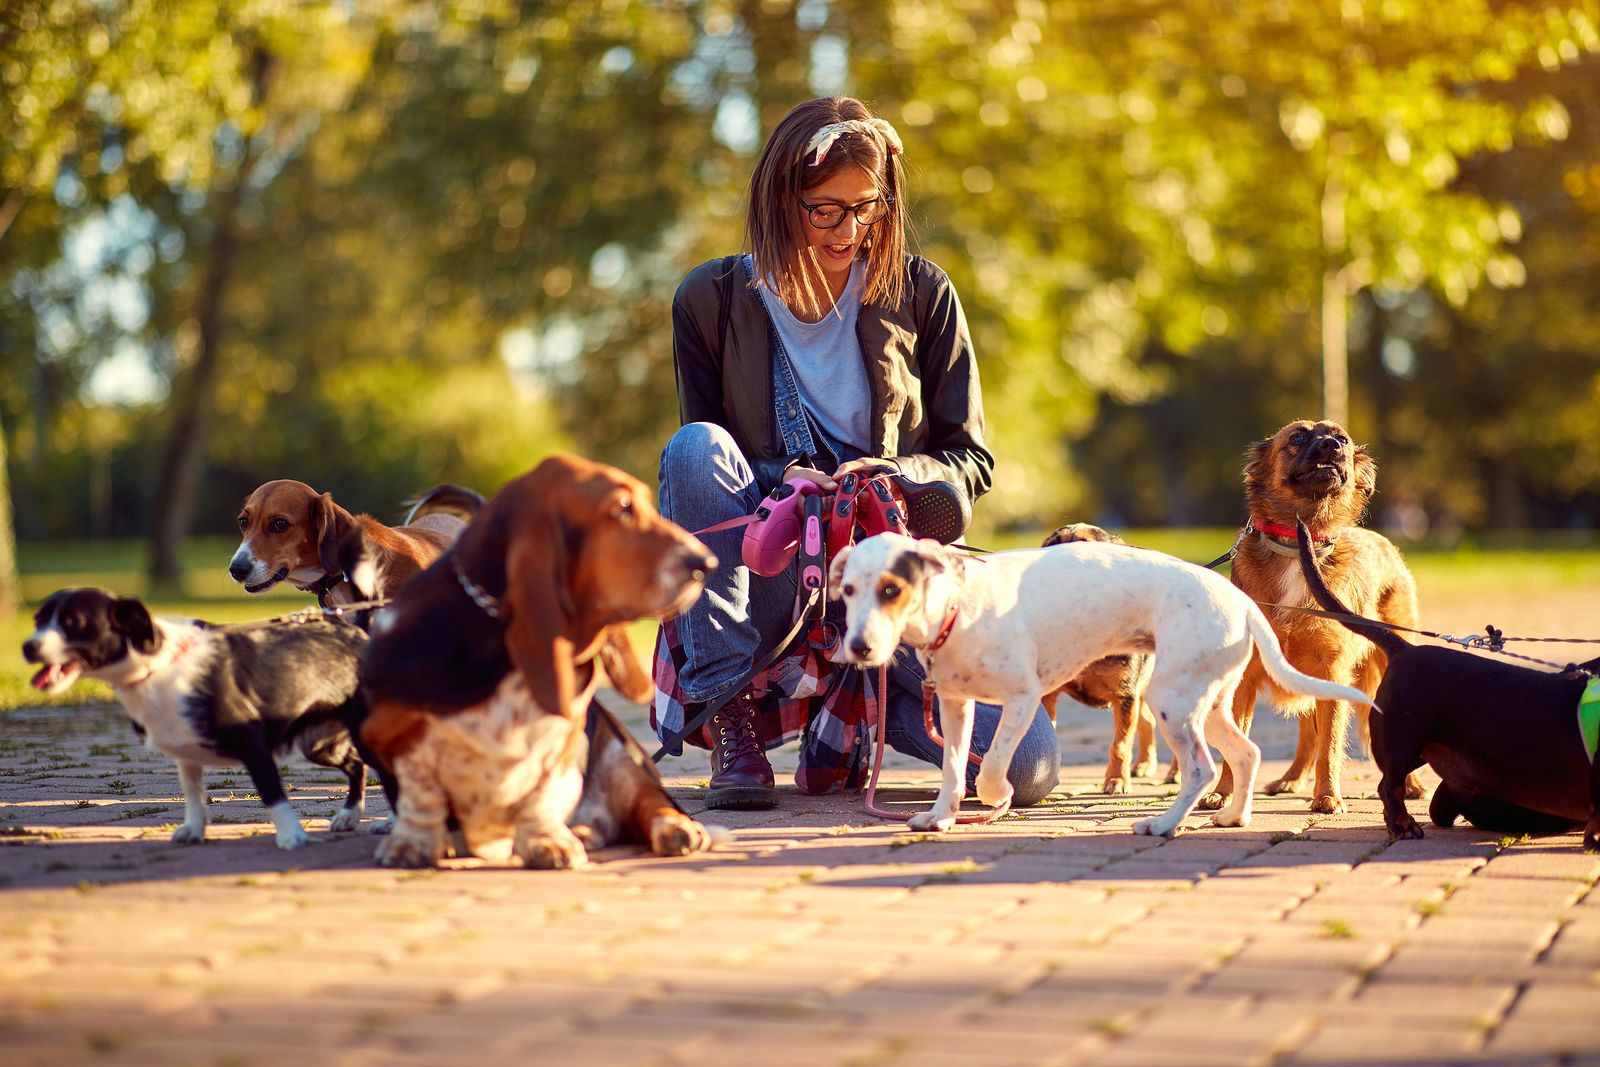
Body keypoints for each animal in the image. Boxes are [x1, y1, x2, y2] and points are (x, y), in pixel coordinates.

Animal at [23, 585, 372, 851]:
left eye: (73, 621)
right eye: (38, 621)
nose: (27, 647)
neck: (158, 665)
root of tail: (357, 634)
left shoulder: (253, 746)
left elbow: (272, 792)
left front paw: (291, 835)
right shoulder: (186, 753)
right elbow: (193, 794)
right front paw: (194, 829)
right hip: (319, 743)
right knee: (358, 766)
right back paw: (350, 816)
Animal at [825, 534, 1376, 831]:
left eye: (891, 590)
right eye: (847, 590)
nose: (859, 649)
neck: (959, 606)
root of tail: (1242, 601)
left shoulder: (1023, 700)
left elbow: (989, 769)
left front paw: (998, 796)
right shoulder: (955, 707)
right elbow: (953, 771)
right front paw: (941, 817)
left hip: (1169, 701)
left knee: (1200, 768)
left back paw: (1164, 826)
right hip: (1210, 702)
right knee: (1246, 754)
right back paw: (1231, 817)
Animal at [1203, 419, 1420, 819]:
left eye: (1344, 439)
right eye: (1298, 438)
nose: (1332, 445)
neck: (1296, 545)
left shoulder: (1331, 671)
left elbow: (1330, 743)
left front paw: (1328, 797)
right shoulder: (1247, 676)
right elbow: (1236, 742)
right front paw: (1223, 794)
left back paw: (1411, 786)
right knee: (1307, 734)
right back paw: (1290, 779)